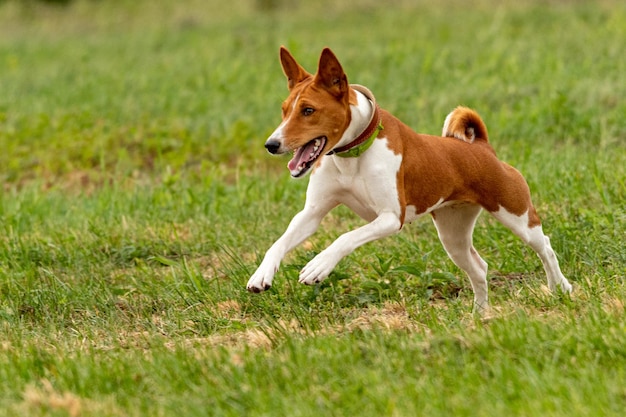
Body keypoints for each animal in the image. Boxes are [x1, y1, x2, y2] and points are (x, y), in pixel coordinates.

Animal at [245, 47, 572, 310]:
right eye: (284, 111)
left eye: (308, 110)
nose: (271, 144)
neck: (353, 154)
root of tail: (481, 147)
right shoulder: (312, 214)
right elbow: (279, 242)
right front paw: (261, 274)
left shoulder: (391, 217)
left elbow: (345, 237)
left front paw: (318, 266)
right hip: (453, 235)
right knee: (479, 269)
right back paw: (480, 315)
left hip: (516, 215)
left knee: (545, 246)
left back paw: (560, 288)